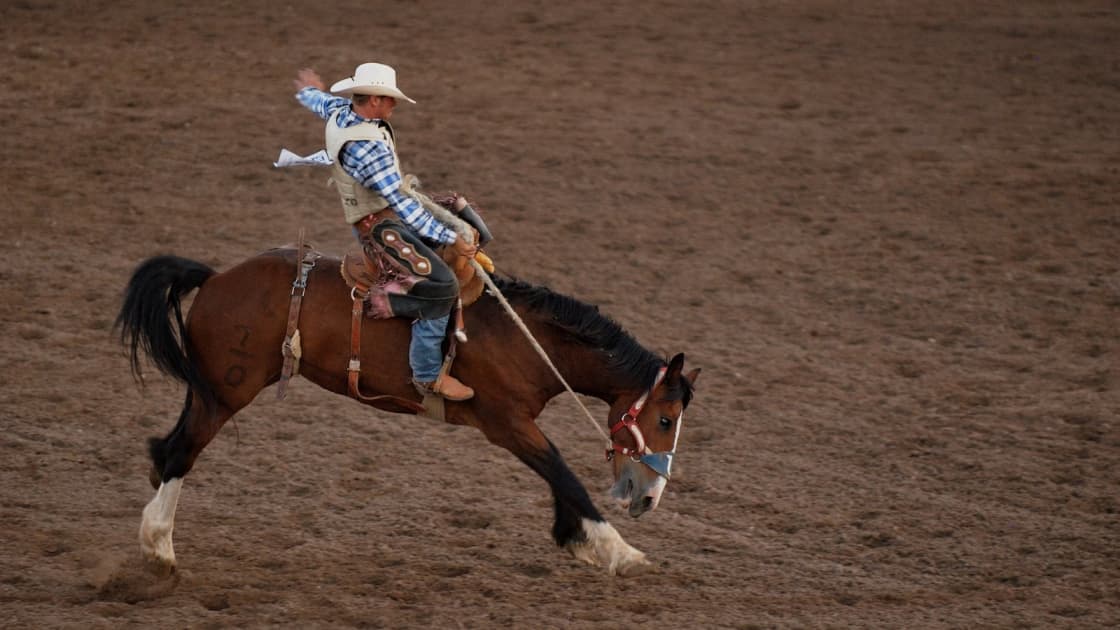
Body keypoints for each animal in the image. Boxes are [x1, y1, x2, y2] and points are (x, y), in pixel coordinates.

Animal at [115, 248, 700, 577]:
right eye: (665, 420)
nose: (649, 498)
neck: (524, 337)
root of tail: (215, 278)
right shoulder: (508, 424)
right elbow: (562, 472)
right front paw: (619, 552)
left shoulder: (517, 427)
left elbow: (557, 476)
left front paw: (577, 542)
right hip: (224, 394)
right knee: (181, 453)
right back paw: (159, 549)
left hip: (206, 390)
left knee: (164, 449)